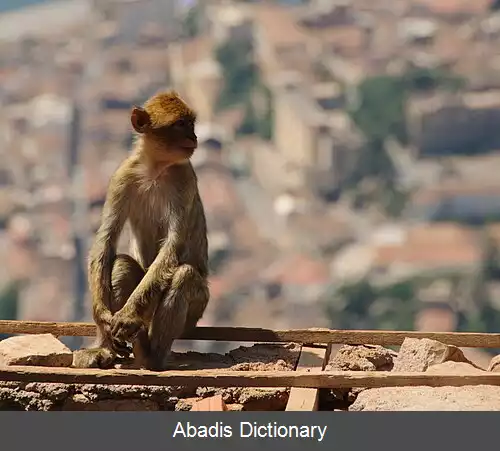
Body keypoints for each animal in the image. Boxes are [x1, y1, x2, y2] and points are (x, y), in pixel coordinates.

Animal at [72, 90, 209, 372]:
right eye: (180, 124)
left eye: (190, 123)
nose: (194, 137)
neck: (155, 167)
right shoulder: (122, 177)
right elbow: (106, 239)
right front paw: (101, 315)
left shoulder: (184, 178)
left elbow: (173, 246)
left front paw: (124, 318)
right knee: (121, 264)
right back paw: (105, 348)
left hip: (195, 310)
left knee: (184, 276)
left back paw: (151, 356)